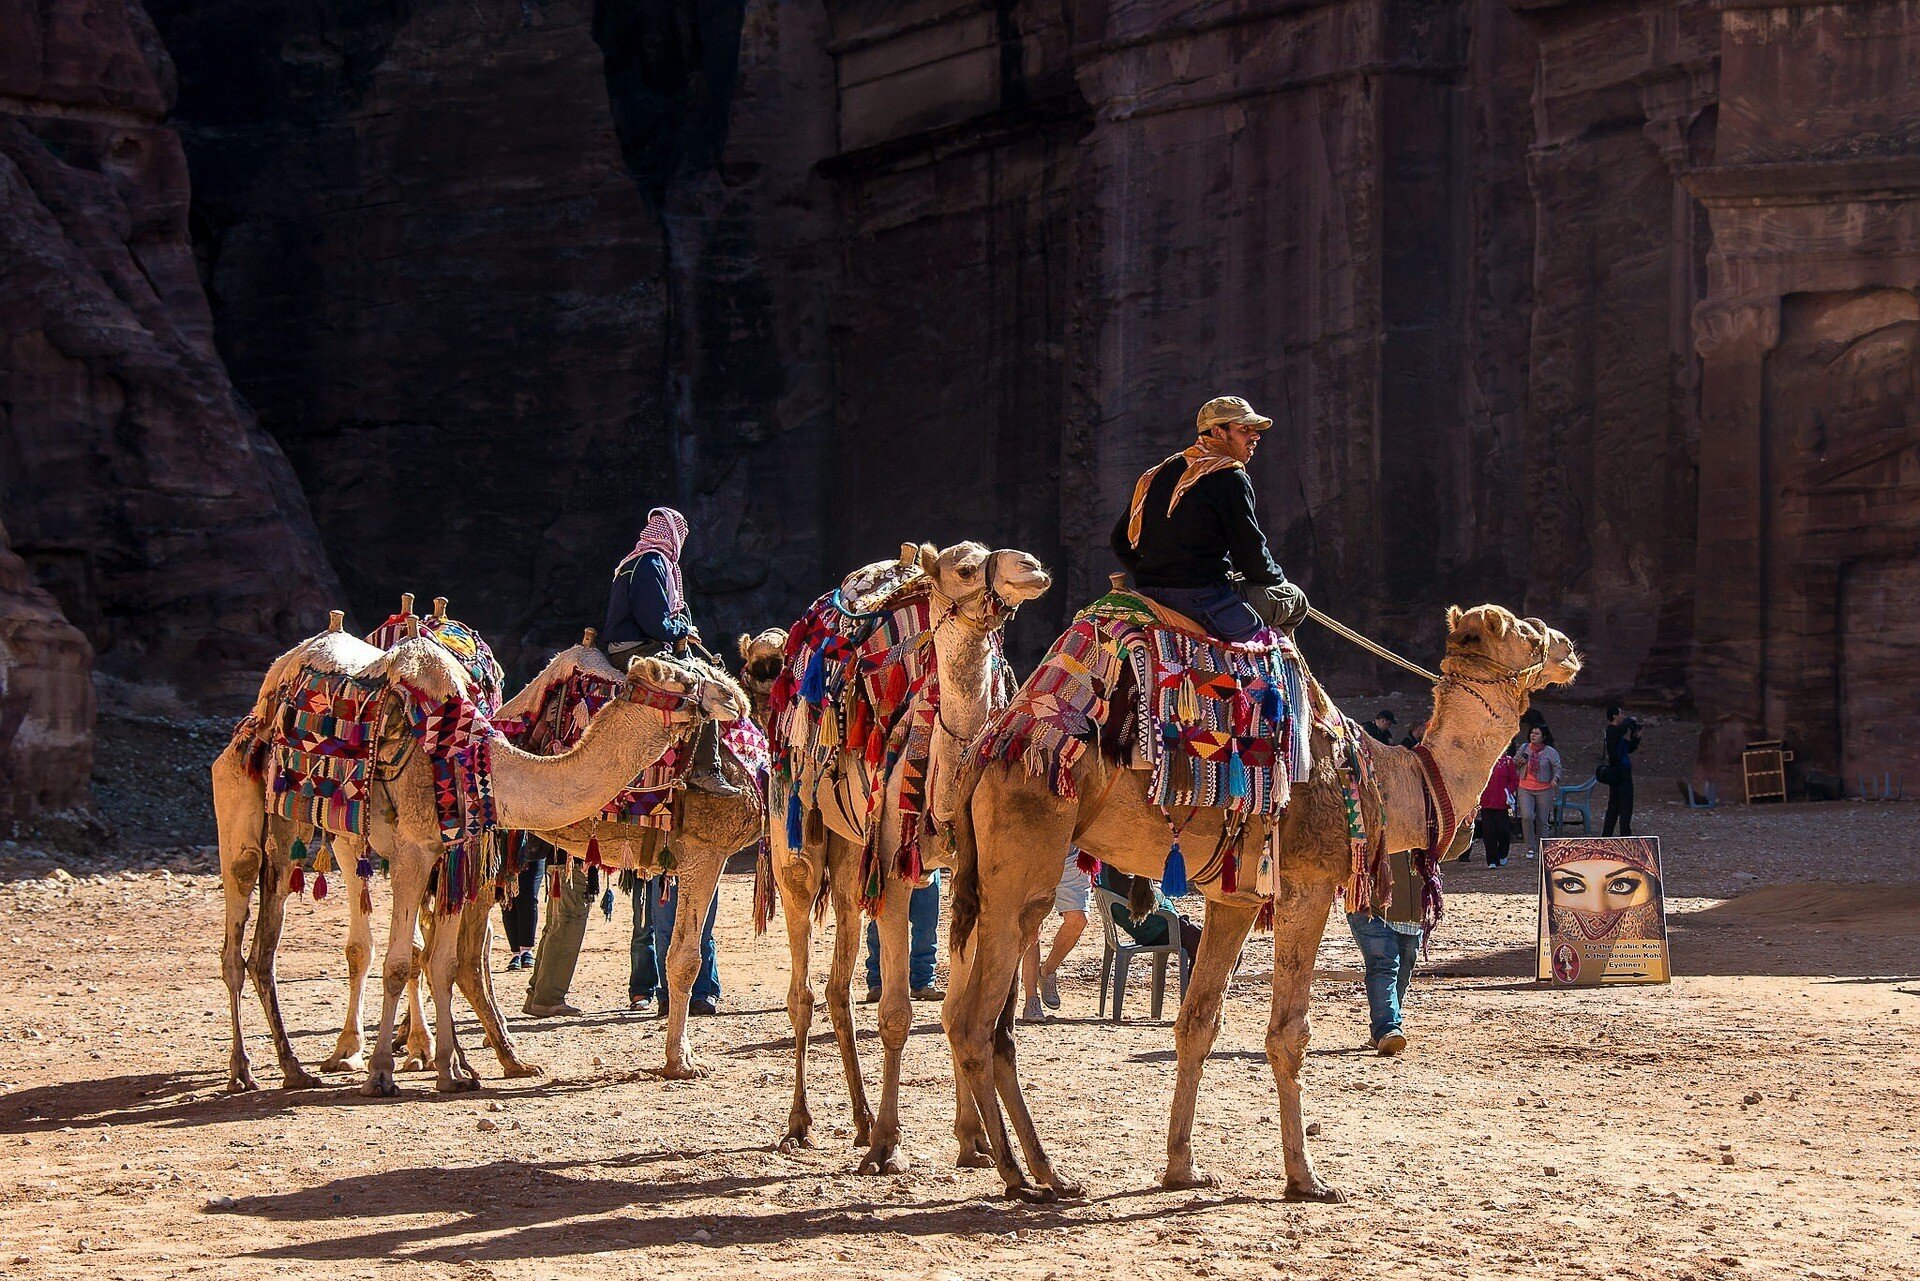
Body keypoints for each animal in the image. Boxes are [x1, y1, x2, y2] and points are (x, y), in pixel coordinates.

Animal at [214, 622, 741, 1090]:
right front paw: (383, 1073)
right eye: (684, 679)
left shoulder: (454, 856)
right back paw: (249, 1069)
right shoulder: (414, 851)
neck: (480, 762)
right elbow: (402, 961)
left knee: (267, 948)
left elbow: (441, 962)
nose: (733, 697)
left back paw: (296, 1067)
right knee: (240, 935)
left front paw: (452, 1072)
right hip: (243, 803)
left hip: (306, 832)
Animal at [768, 537, 1052, 1175]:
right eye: (965, 568)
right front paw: (887, 1146)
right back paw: (802, 1123)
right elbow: (896, 1013)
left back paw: (857, 1118)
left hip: (853, 856)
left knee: (837, 984)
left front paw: (971, 1141)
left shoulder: (965, 876)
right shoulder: (897, 876)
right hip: (796, 838)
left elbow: (953, 1012)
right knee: (802, 990)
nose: (1032, 567)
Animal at [940, 603, 1574, 1206]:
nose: (1566, 647)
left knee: (978, 1021)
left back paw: (1044, 1172)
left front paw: (1182, 1169)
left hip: (989, 884)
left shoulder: (1234, 898)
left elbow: (1197, 1022)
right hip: (1024, 857)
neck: (1390, 782)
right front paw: (1307, 1179)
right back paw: (1017, 1176)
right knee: (975, 1024)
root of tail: (988, 752)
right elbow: (1288, 1033)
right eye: (1523, 631)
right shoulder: (1306, 884)